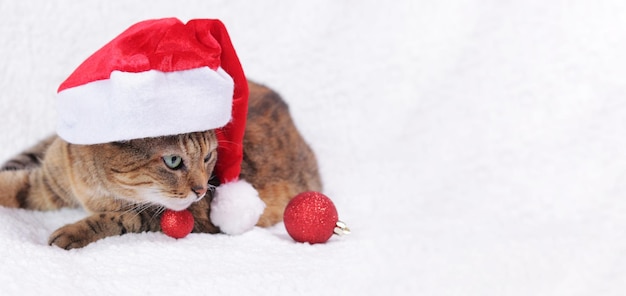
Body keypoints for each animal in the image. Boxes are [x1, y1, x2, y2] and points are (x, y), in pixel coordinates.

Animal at [0, 81, 322, 250]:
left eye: (208, 157)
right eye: (173, 160)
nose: (202, 190)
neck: (92, 188)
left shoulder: (192, 217)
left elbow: (121, 218)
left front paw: (74, 231)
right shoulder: (47, 181)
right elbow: (14, 187)